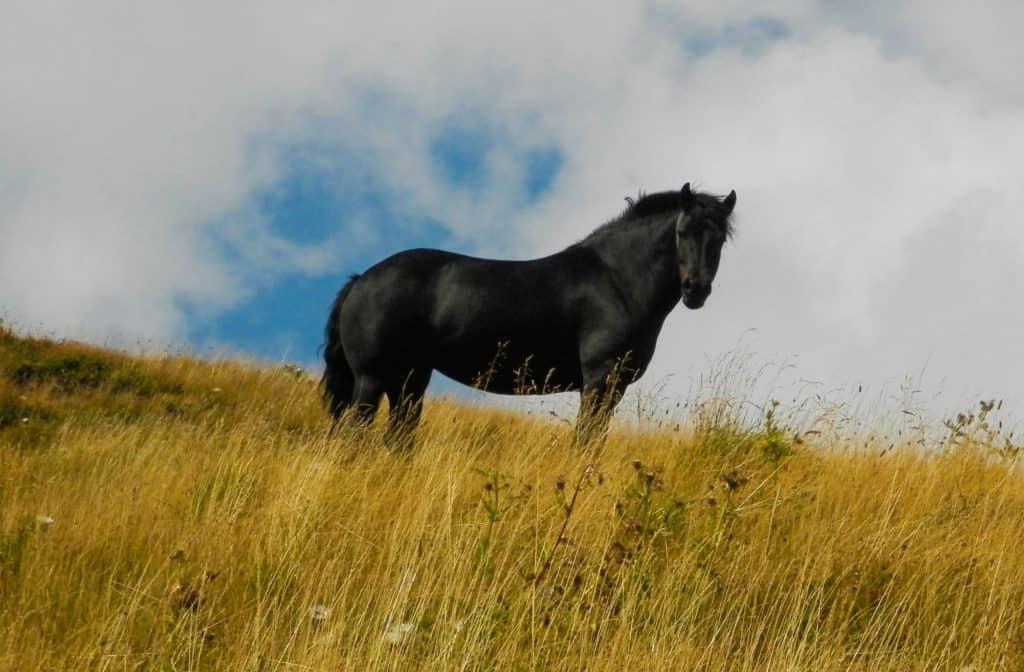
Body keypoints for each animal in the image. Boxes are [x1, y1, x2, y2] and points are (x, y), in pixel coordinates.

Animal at [321, 182, 737, 448]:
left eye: (720, 239)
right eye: (682, 232)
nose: (695, 290)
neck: (616, 278)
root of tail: (362, 280)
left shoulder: (613, 387)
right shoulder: (600, 379)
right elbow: (586, 440)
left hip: (409, 380)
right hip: (372, 380)